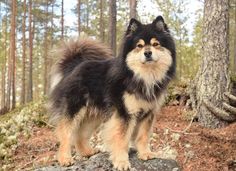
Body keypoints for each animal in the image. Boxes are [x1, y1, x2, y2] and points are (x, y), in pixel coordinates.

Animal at [48, 15, 176, 170]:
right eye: (139, 46)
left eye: (155, 44)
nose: (147, 53)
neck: (142, 76)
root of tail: (74, 66)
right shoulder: (123, 113)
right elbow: (121, 139)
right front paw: (121, 161)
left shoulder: (148, 113)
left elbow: (143, 136)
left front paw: (145, 153)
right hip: (74, 109)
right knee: (65, 133)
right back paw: (65, 158)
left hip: (93, 115)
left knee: (80, 134)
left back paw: (86, 152)